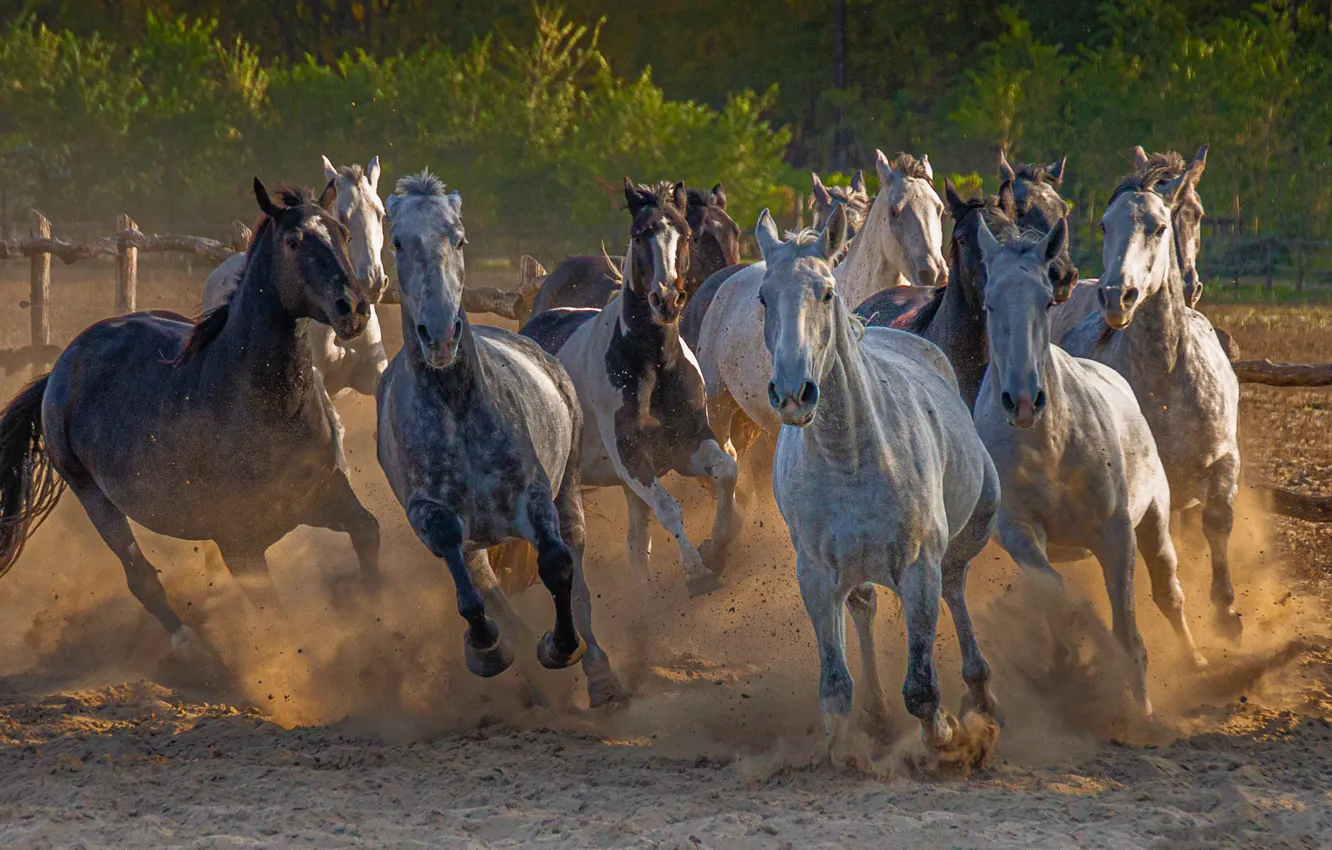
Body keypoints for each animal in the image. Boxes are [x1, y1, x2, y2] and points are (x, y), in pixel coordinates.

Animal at [0, 180, 379, 667]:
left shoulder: (328, 495)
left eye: (341, 233)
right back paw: (191, 647)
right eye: (293, 241)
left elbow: (368, 533)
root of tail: (60, 368)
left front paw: (376, 617)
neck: (264, 409)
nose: (353, 308)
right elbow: (280, 627)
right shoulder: (241, 549)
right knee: (140, 576)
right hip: (93, 497)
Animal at [375, 171, 621, 701]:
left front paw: (559, 647)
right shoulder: (430, 514)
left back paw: (599, 674)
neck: (457, 407)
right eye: (397, 241)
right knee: (484, 580)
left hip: (569, 487)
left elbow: (558, 566)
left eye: (459, 238)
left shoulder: (535, 496)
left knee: (577, 568)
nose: (440, 335)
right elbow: (471, 587)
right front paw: (488, 647)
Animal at [759, 204, 1000, 762]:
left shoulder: (919, 568)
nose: (793, 394)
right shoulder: (816, 575)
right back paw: (879, 711)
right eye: (763, 298)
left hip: (965, 536)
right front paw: (844, 748)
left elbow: (922, 686)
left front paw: (945, 735)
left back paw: (979, 691)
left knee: (955, 587)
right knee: (865, 607)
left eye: (826, 292)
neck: (851, 456)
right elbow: (834, 686)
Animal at [973, 216, 1205, 715]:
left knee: (1168, 591)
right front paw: (1068, 665)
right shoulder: (1019, 531)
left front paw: (1142, 711)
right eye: (989, 303)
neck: (1049, 445)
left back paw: (1195, 659)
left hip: (1154, 521)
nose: (1023, 401)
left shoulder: (1115, 533)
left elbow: (1129, 631)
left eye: (1045, 300)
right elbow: (1053, 592)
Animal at [1061, 161, 1244, 640]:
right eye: (1104, 225)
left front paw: (1225, 609)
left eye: (1159, 227)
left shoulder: (1225, 458)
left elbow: (1218, 521)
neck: (1167, 378)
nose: (1116, 296)